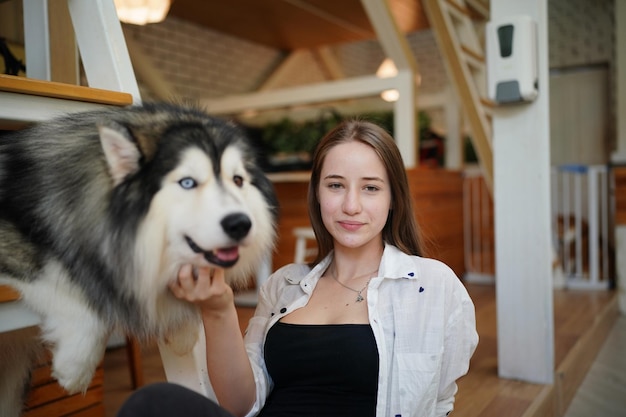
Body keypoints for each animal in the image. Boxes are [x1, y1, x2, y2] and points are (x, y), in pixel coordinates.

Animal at [0, 102, 278, 414]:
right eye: (187, 182)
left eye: (238, 180)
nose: (241, 224)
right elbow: (71, 284)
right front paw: (75, 366)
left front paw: (181, 324)